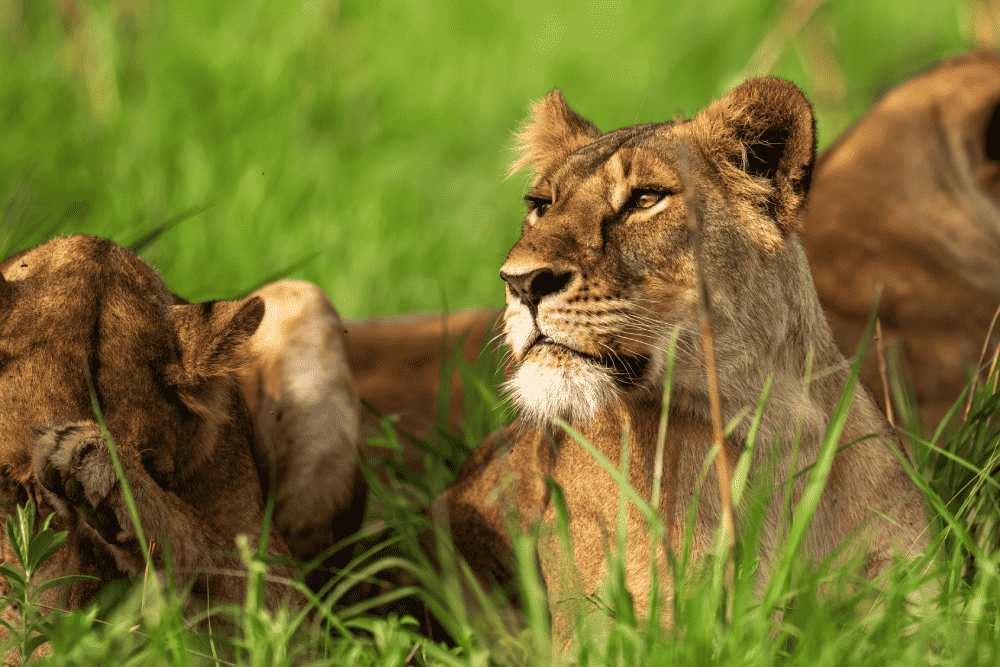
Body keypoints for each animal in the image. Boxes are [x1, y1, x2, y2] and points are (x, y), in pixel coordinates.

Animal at [0, 235, 365, 611]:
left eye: (158, 477)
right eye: (14, 490)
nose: (69, 624)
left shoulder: (289, 599)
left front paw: (104, 471)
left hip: (301, 294)